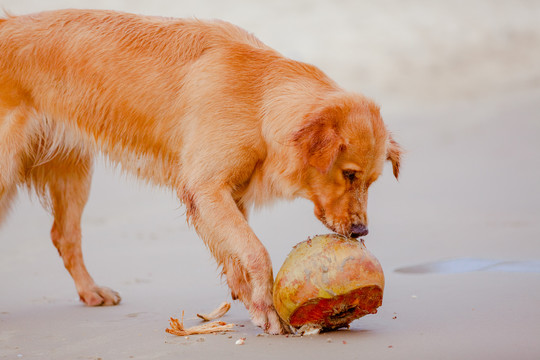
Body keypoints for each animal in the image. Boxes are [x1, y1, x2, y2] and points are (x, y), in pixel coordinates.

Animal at [0, 9, 400, 334]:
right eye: (349, 175)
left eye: (371, 181)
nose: (361, 231)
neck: (260, 98)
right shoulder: (206, 189)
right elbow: (255, 250)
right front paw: (265, 306)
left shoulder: (229, 194)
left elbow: (236, 251)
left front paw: (250, 301)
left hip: (74, 171)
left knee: (64, 235)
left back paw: (89, 291)